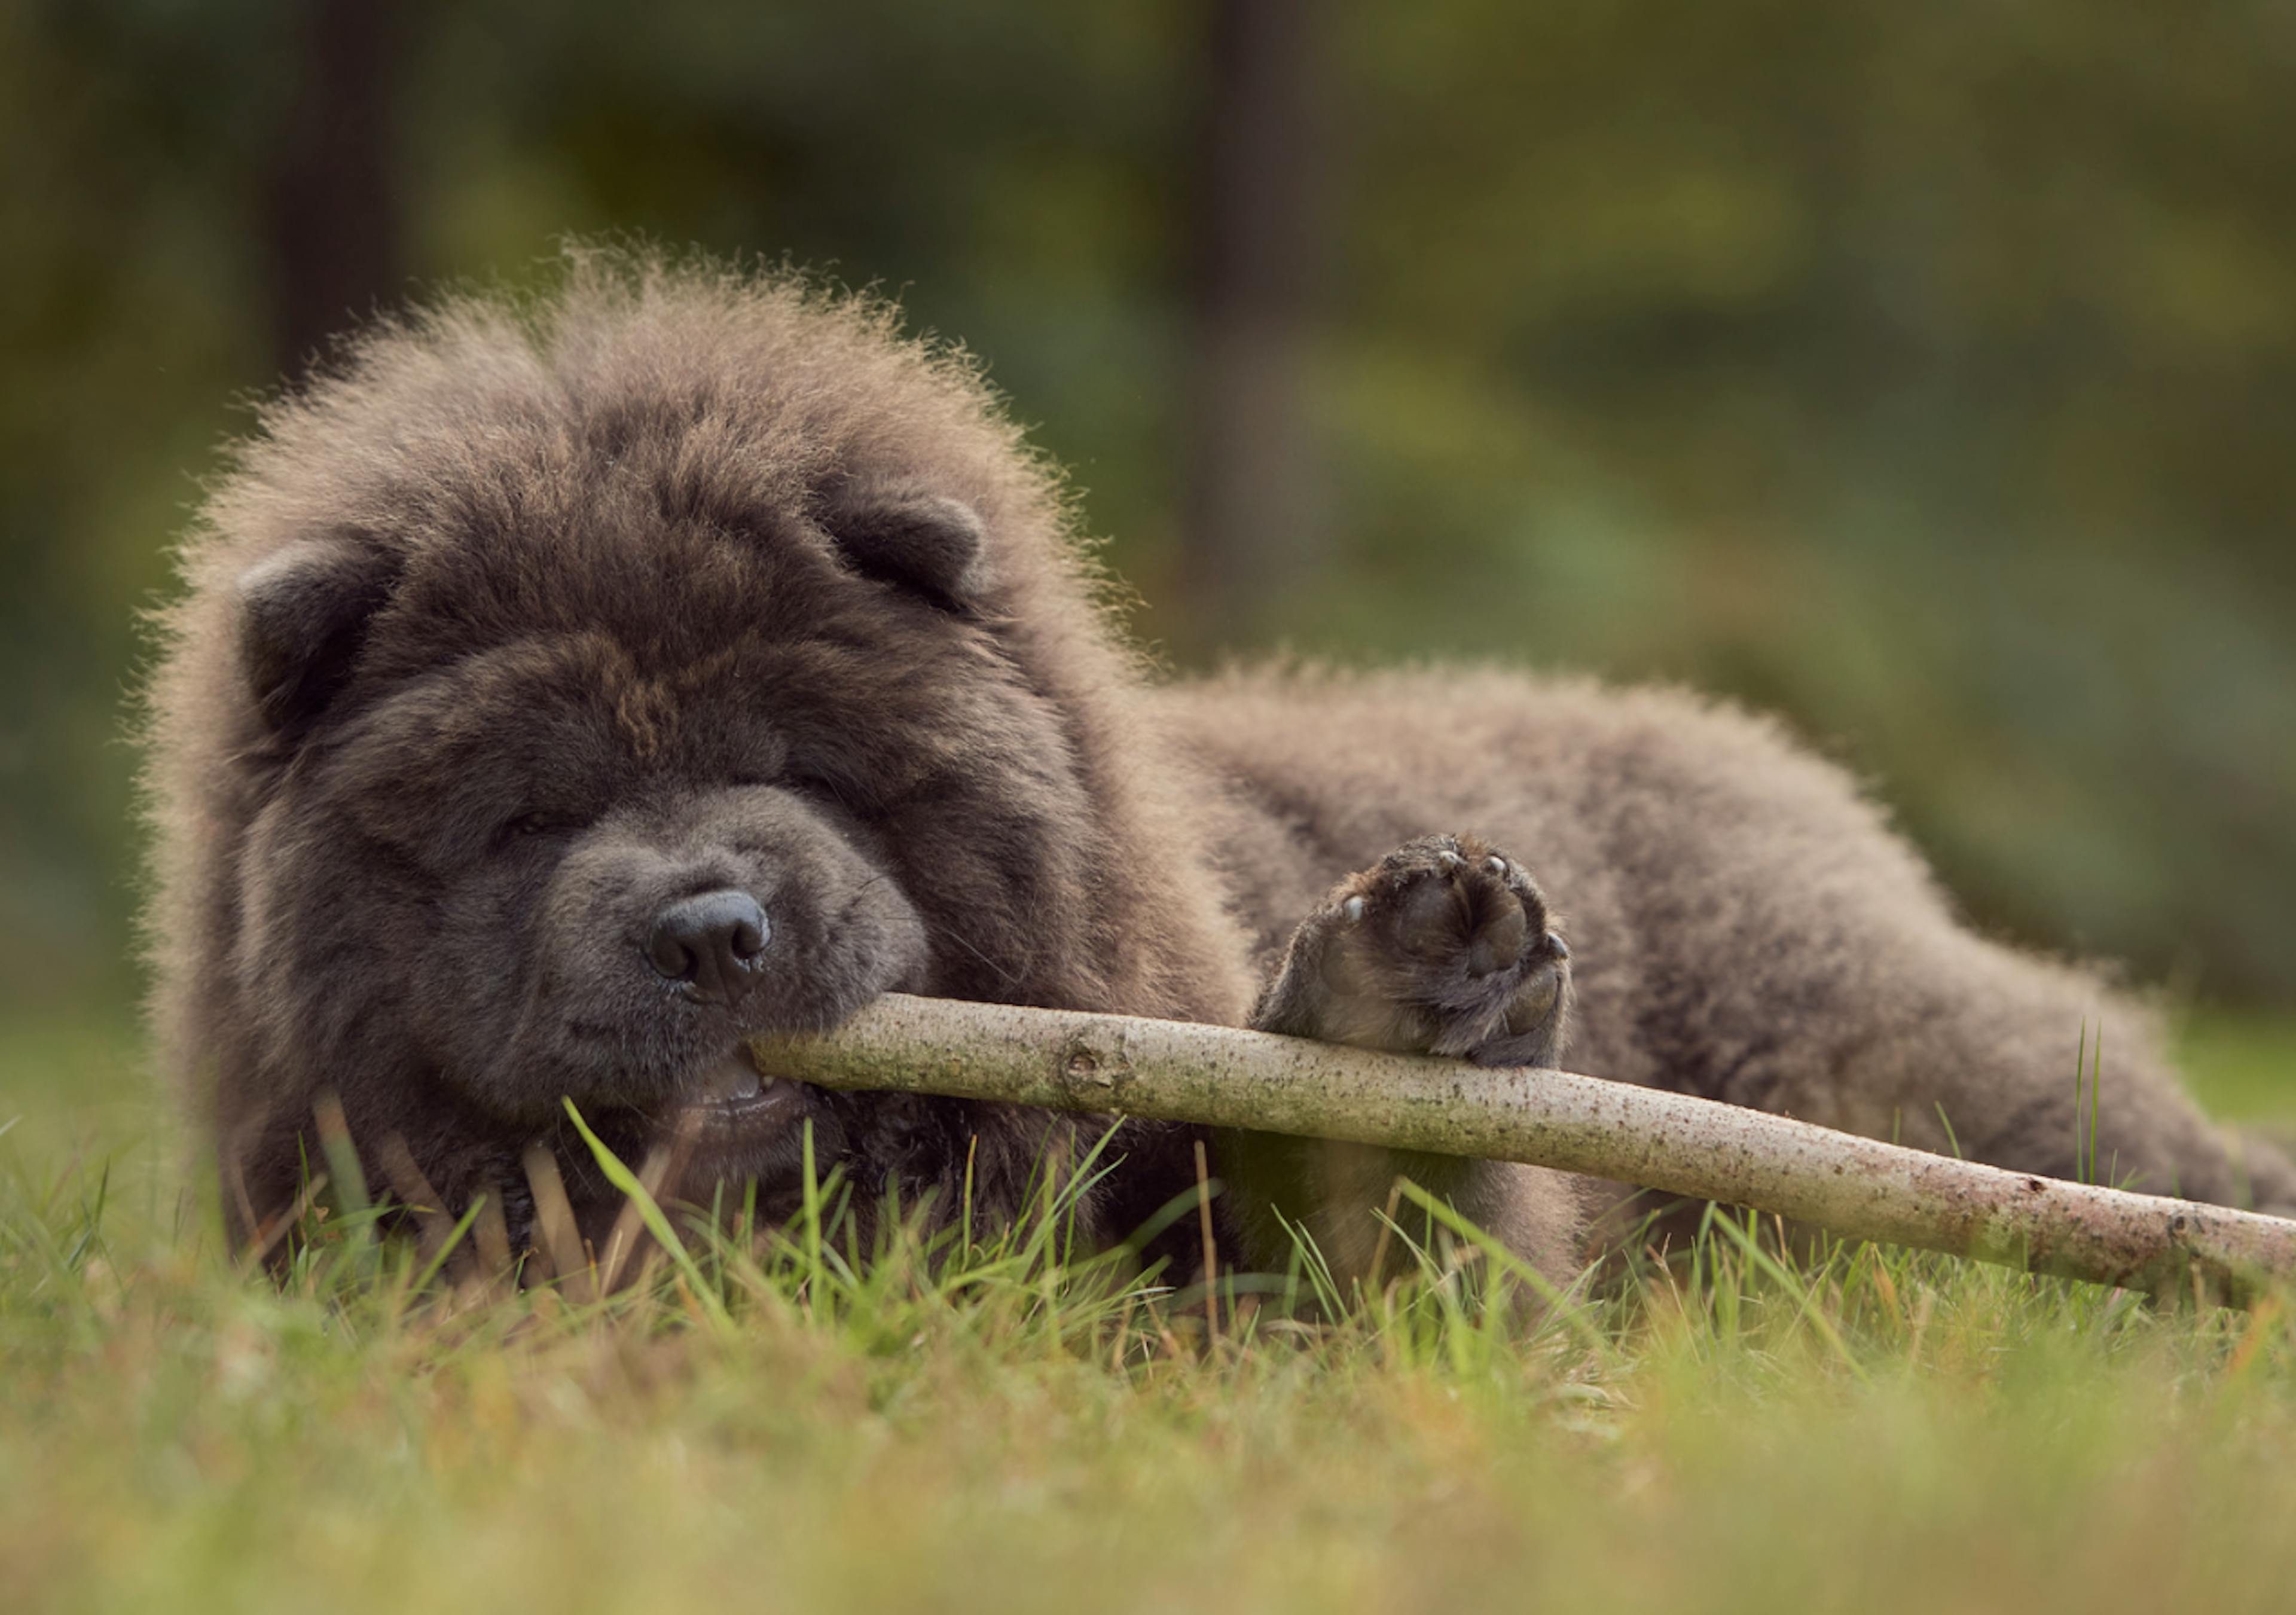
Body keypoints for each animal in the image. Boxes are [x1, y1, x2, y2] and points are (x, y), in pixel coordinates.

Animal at [148, 256, 2296, 1286]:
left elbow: (1377, 1237)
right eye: (531, 816)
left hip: (1888, 1052)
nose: (713, 927)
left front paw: (1398, 1001)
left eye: (801, 763)